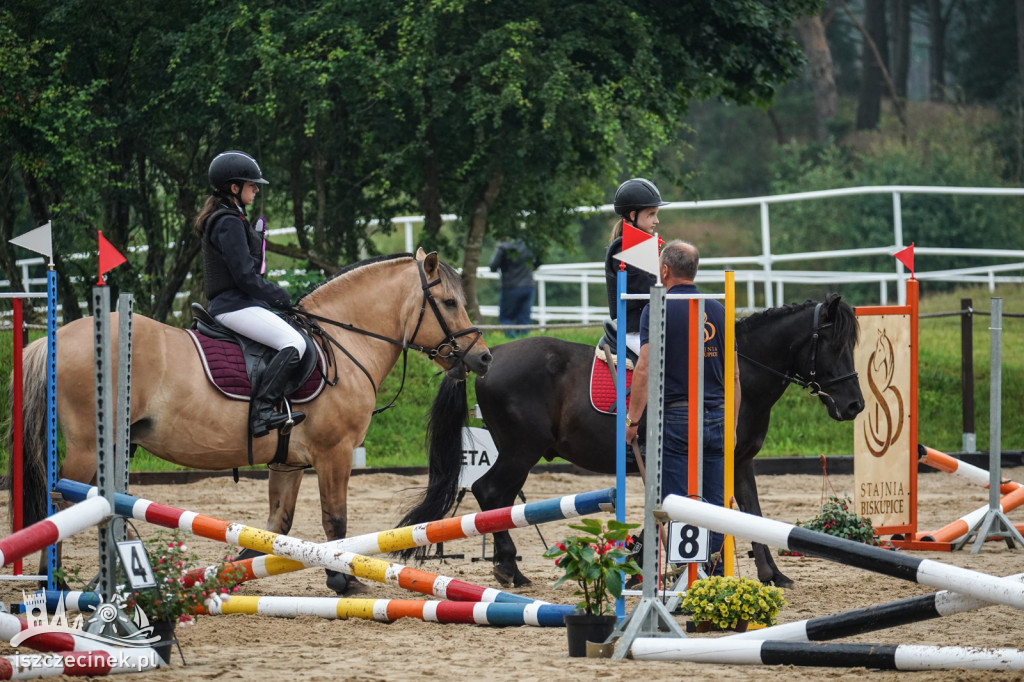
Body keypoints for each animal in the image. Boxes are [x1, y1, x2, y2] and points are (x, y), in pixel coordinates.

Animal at [18, 248, 491, 589]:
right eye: (449, 302)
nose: (483, 358)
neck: (345, 341)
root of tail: (54, 340)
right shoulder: (334, 454)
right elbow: (334, 519)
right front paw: (343, 579)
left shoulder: (289, 462)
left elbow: (276, 524)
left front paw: (238, 569)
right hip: (88, 447)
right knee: (62, 505)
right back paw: (59, 582)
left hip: (118, 444)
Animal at [395, 292, 860, 585]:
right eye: (834, 346)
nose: (854, 405)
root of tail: (486, 360)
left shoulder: (740, 461)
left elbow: (752, 513)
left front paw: (772, 575)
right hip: (520, 451)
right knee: (490, 493)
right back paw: (510, 569)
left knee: (496, 498)